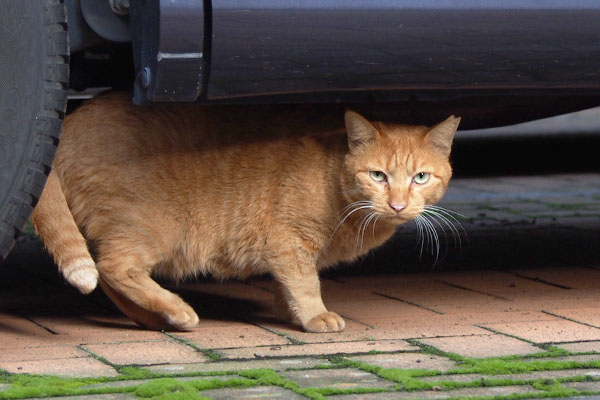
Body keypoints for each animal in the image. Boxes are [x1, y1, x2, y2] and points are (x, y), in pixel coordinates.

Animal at [31, 92, 460, 332]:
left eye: (421, 177)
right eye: (378, 175)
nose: (398, 204)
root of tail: (69, 121)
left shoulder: (287, 252)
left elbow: (285, 285)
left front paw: (290, 314)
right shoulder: (289, 242)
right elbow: (305, 284)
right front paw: (314, 316)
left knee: (105, 272)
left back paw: (158, 319)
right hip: (147, 227)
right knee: (115, 268)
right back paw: (178, 311)